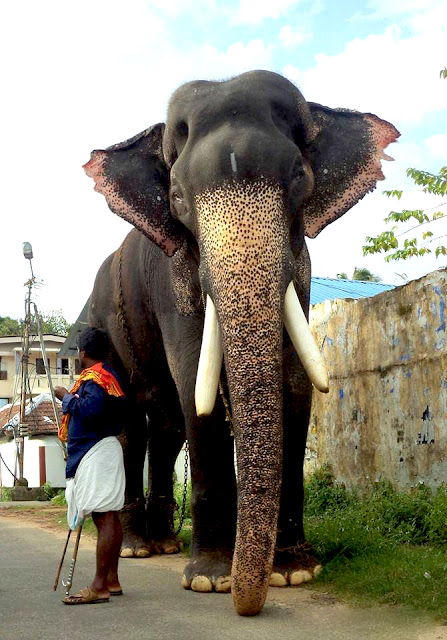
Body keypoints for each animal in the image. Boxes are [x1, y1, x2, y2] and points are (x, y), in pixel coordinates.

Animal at [84, 70, 400, 616]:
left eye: (298, 177)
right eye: (178, 198)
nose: (247, 606)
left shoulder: (301, 266)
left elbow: (294, 385)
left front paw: (294, 573)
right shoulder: (173, 278)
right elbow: (197, 384)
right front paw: (210, 581)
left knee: (166, 427)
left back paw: (163, 544)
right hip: (110, 328)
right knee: (129, 425)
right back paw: (136, 548)